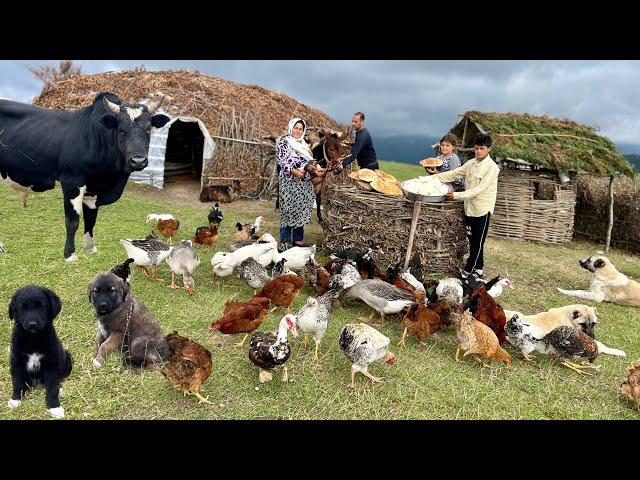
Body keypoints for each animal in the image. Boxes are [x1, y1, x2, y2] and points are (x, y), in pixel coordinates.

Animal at [0, 92, 170, 260]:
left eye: (148, 129)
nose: (138, 160)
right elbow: (72, 221)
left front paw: (90, 248)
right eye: (121, 130)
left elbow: (91, 220)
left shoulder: (93, 189)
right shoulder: (72, 182)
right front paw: (69, 254)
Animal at [7, 286, 73, 418]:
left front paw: (54, 407)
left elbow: (52, 387)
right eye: (22, 308)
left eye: (41, 307)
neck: (33, 338)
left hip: (68, 359)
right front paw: (15, 399)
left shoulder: (52, 363)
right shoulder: (16, 361)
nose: (32, 324)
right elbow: (17, 382)